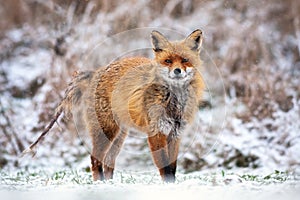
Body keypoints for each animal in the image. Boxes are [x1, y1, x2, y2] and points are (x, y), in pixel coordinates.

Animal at [27, 29, 205, 183]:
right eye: (168, 61)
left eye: (185, 60)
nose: (177, 71)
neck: (174, 101)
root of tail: (97, 71)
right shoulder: (156, 131)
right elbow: (164, 166)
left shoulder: (175, 133)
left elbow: (172, 167)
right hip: (106, 131)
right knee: (95, 159)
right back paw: (100, 184)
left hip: (119, 136)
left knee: (108, 162)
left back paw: (110, 184)